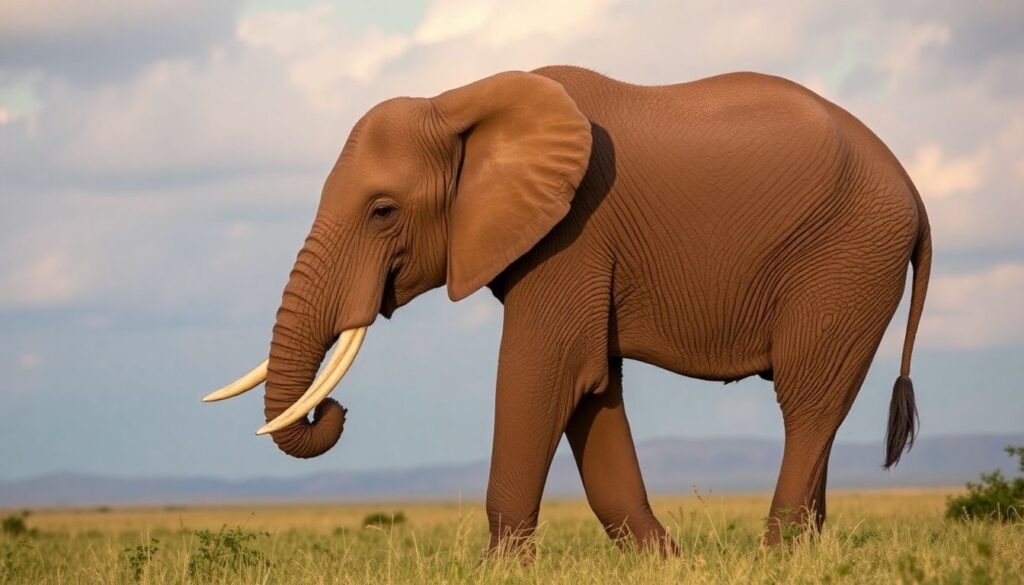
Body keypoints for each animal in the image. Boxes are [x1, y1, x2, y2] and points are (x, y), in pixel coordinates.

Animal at [205, 66, 931, 553]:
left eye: (382, 211)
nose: (332, 409)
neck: (461, 100)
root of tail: (917, 198)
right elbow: (592, 390)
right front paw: (663, 563)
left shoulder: (574, 233)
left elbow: (542, 376)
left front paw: (500, 570)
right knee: (820, 412)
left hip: (846, 262)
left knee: (808, 405)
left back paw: (776, 558)